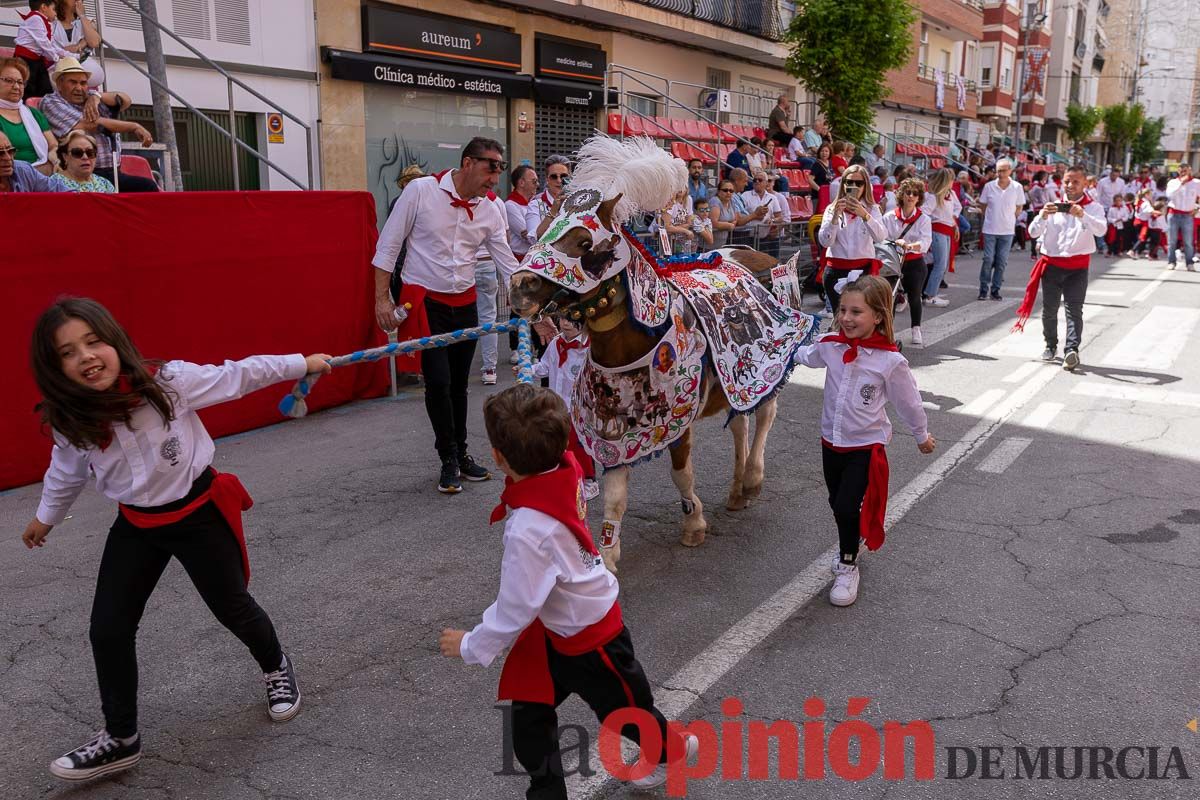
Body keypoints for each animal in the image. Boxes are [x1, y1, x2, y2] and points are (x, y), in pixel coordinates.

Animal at [506, 139, 825, 575]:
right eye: (538, 232)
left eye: (585, 244)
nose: (519, 286)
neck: (639, 341)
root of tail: (760, 256)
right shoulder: (615, 428)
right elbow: (615, 497)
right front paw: (608, 554)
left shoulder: (679, 423)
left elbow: (682, 476)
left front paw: (693, 523)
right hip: (730, 383)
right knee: (740, 424)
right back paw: (737, 488)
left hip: (768, 367)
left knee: (764, 415)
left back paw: (753, 478)